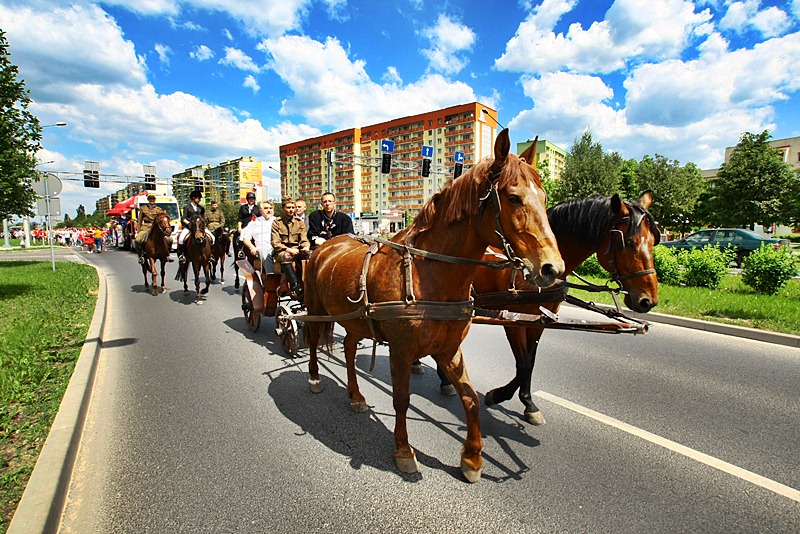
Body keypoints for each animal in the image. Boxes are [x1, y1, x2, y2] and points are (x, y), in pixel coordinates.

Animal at [302, 129, 564, 482]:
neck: (428, 275)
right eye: (513, 198)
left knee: (349, 349)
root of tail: (325, 245)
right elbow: (401, 399)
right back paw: (315, 378)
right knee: (313, 340)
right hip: (316, 308)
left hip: (354, 319)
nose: (552, 268)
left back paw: (355, 395)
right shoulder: (401, 351)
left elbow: (470, 399)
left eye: (545, 198)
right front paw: (403, 451)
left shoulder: (449, 349)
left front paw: (472, 458)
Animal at [472, 192, 660, 425]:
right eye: (630, 243)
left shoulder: (539, 320)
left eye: (653, 242)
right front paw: (498, 395)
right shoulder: (513, 320)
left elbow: (530, 362)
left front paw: (528, 403)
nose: (648, 301)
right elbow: (523, 364)